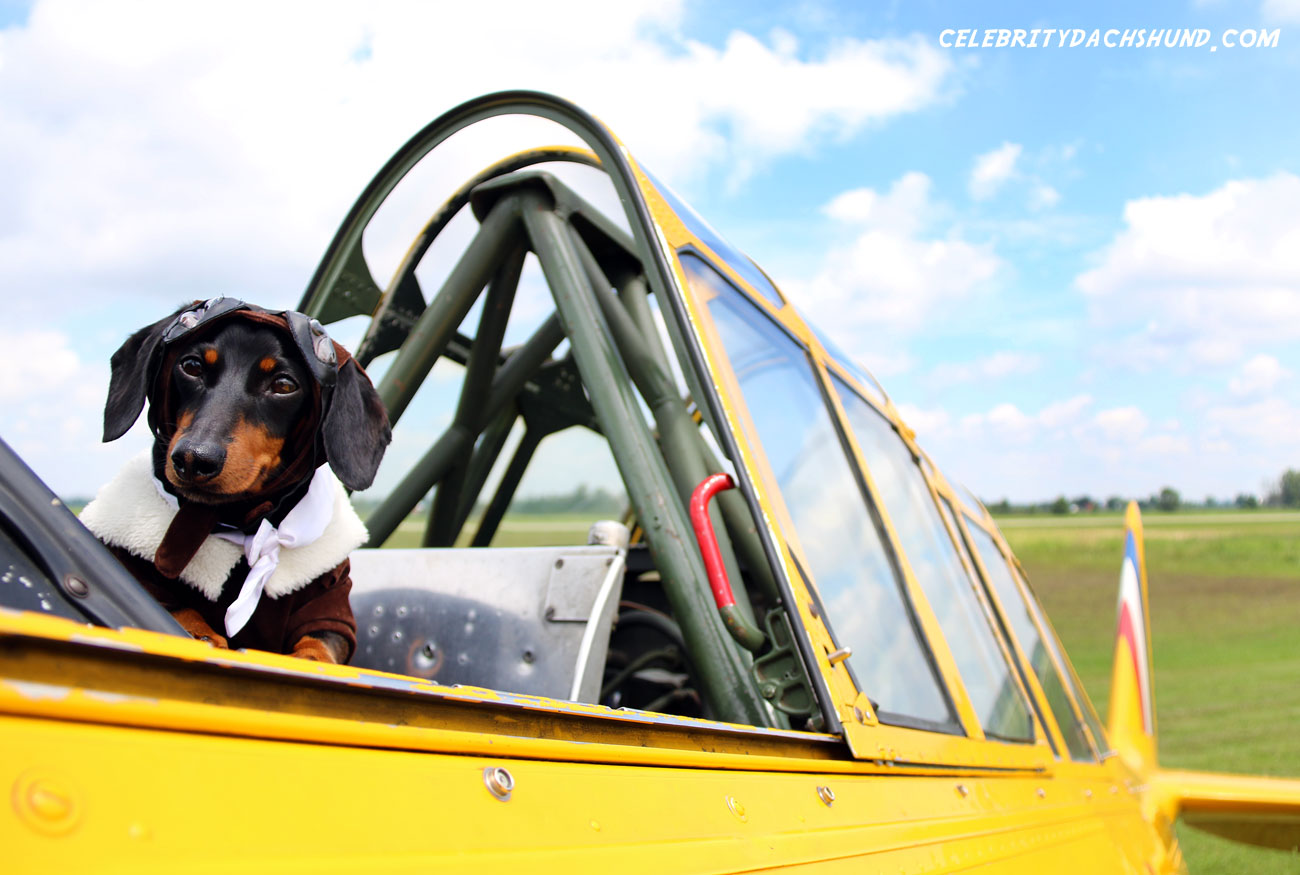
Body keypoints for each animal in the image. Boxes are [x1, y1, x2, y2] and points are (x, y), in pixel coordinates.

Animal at [82, 300, 390, 663]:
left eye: (284, 385)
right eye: (191, 366)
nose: (194, 459)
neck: (244, 528)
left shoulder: (329, 602)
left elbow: (319, 648)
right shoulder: (134, 574)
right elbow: (170, 605)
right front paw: (201, 635)